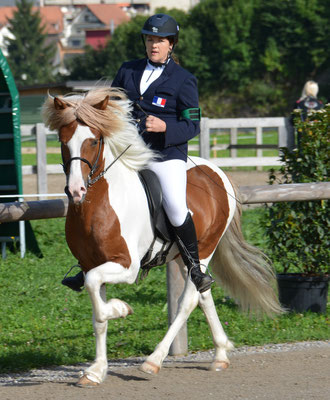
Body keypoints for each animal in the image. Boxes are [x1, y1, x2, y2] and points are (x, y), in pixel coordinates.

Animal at [42, 86, 282, 388]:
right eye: (63, 141)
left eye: (94, 141)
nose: (76, 191)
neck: (98, 204)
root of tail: (216, 172)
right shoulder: (91, 265)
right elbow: (97, 313)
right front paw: (96, 371)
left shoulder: (126, 267)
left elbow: (101, 303)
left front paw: (121, 309)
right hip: (183, 256)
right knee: (203, 294)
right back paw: (220, 353)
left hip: (205, 248)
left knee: (188, 301)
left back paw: (153, 361)